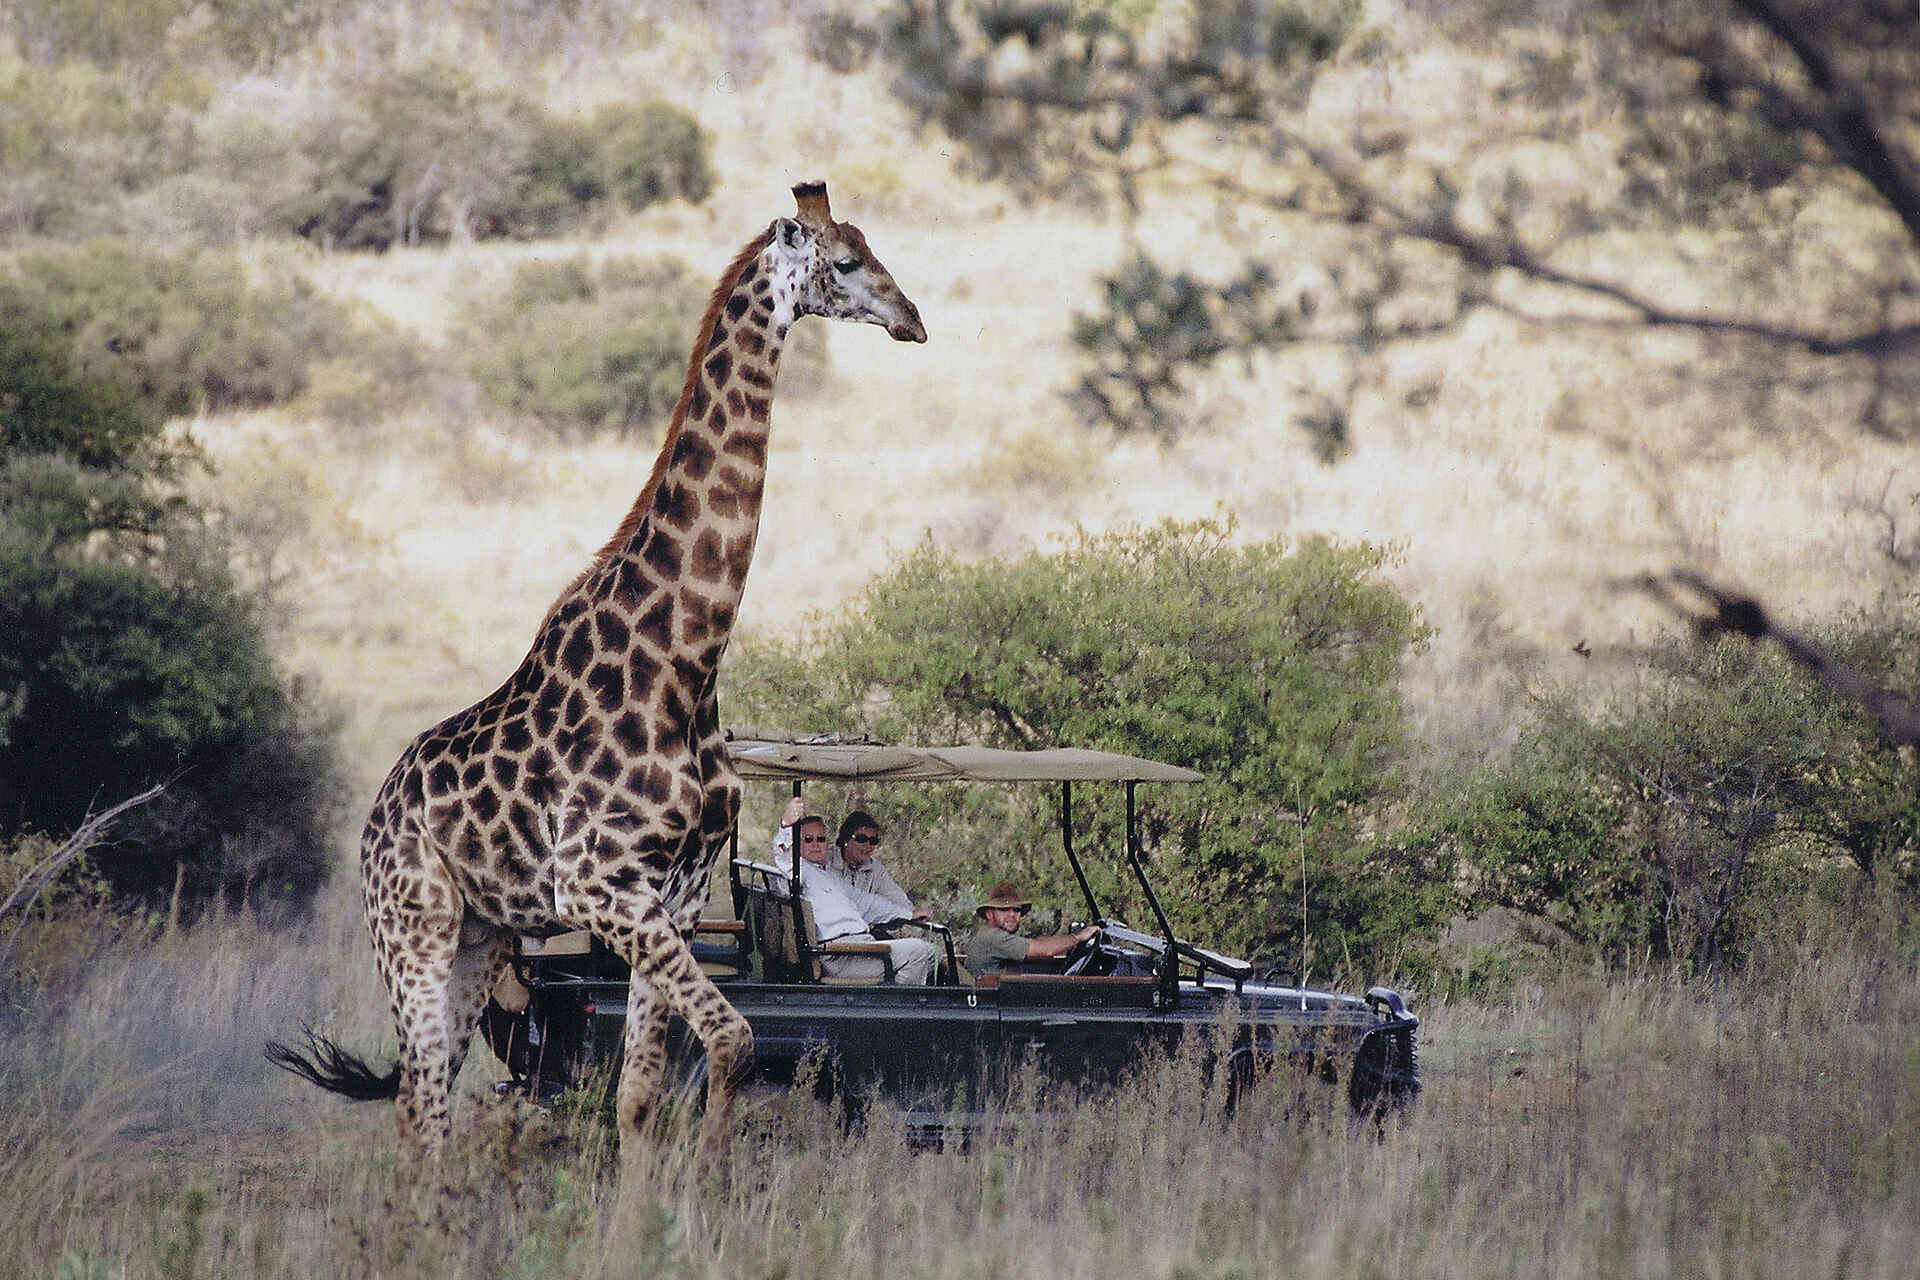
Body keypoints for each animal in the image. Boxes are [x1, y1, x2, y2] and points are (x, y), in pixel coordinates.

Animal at [267, 181, 926, 1175]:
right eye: (846, 261)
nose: (912, 318)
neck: (687, 661)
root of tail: (376, 814)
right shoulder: (598, 885)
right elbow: (733, 1040)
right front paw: (703, 1180)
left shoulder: (677, 898)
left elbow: (642, 1096)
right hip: (415, 927)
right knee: (422, 1108)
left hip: (483, 935)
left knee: (425, 1103)